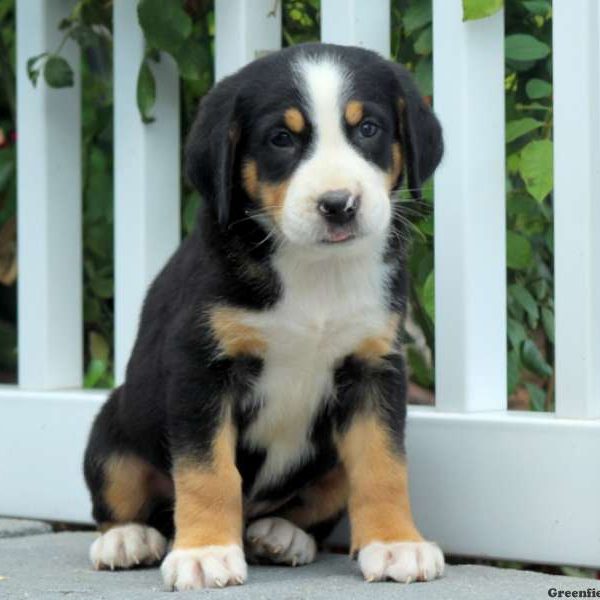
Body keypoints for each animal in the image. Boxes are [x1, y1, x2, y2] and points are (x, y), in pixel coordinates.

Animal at [82, 43, 442, 592]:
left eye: (368, 129)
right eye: (281, 139)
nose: (339, 204)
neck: (315, 272)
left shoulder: (373, 367)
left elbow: (382, 466)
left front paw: (395, 542)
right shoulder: (202, 368)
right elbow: (208, 473)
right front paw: (205, 553)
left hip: (328, 463)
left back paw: (280, 534)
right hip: (114, 428)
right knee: (122, 500)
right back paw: (128, 539)